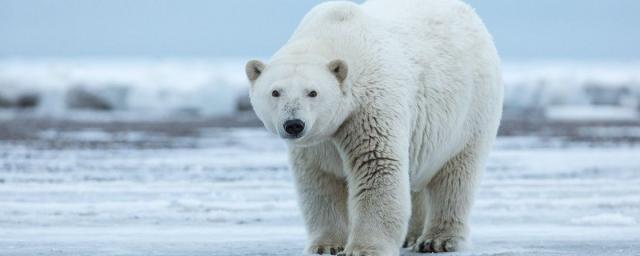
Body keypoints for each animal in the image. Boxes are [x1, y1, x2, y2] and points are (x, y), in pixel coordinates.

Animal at [248, 0, 502, 254]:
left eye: (313, 92)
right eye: (275, 92)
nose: (294, 124)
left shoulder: (369, 107)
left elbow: (376, 165)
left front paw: (363, 248)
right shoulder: (318, 141)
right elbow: (321, 180)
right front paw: (326, 245)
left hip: (469, 112)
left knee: (456, 176)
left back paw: (439, 240)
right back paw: (411, 236)